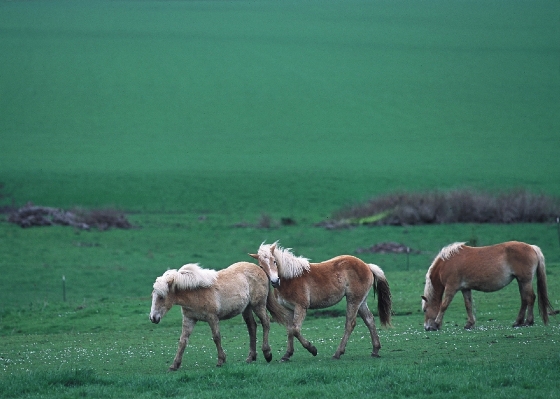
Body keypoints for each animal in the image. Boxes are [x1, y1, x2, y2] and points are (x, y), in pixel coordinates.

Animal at [149, 260, 288, 370]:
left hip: (258, 305)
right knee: (252, 327)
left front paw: (221, 360)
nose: (153, 318)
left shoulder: (212, 318)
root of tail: (260, 269)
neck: (196, 293)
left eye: (161, 297)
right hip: (247, 308)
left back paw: (267, 353)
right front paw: (175, 365)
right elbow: (183, 341)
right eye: (153, 296)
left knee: (265, 323)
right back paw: (251, 357)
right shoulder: (189, 319)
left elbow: (216, 337)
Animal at [252, 242, 392, 360]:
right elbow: (290, 330)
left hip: (353, 300)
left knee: (350, 324)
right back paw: (375, 350)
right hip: (361, 302)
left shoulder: (301, 307)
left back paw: (337, 353)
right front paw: (287, 355)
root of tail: (367, 265)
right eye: (261, 266)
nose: (275, 281)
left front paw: (312, 349)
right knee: (369, 320)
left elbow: (295, 330)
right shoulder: (288, 309)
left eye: (275, 262)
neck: (290, 278)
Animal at [420, 241, 556, 332]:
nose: (427, 327)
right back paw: (518, 322)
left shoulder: (451, 288)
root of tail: (532, 247)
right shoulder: (465, 289)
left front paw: (437, 324)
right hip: (521, 281)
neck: (447, 262)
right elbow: (468, 305)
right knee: (524, 299)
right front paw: (469, 324)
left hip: (525, 281)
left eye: (425, 310)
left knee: (530, 298)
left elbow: (444, 305)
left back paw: (528, 321)